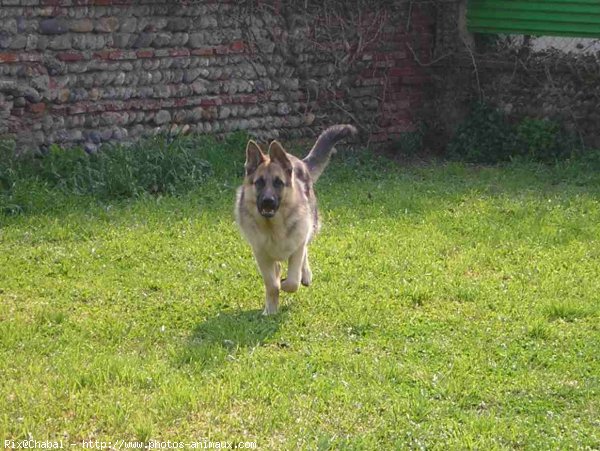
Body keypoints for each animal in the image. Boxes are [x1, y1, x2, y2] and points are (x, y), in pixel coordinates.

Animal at [234, 123, 356, 314]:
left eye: (278, 182)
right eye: (259, 182)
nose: (268, 202)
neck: (273, 227)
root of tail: (297, 161)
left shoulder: (297, 247)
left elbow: (292, 281)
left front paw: (288, 283)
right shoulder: (261, 255)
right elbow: (271, 284)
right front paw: (270, 309)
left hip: (310, 228)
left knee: (304, 255)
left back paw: (305, 276)